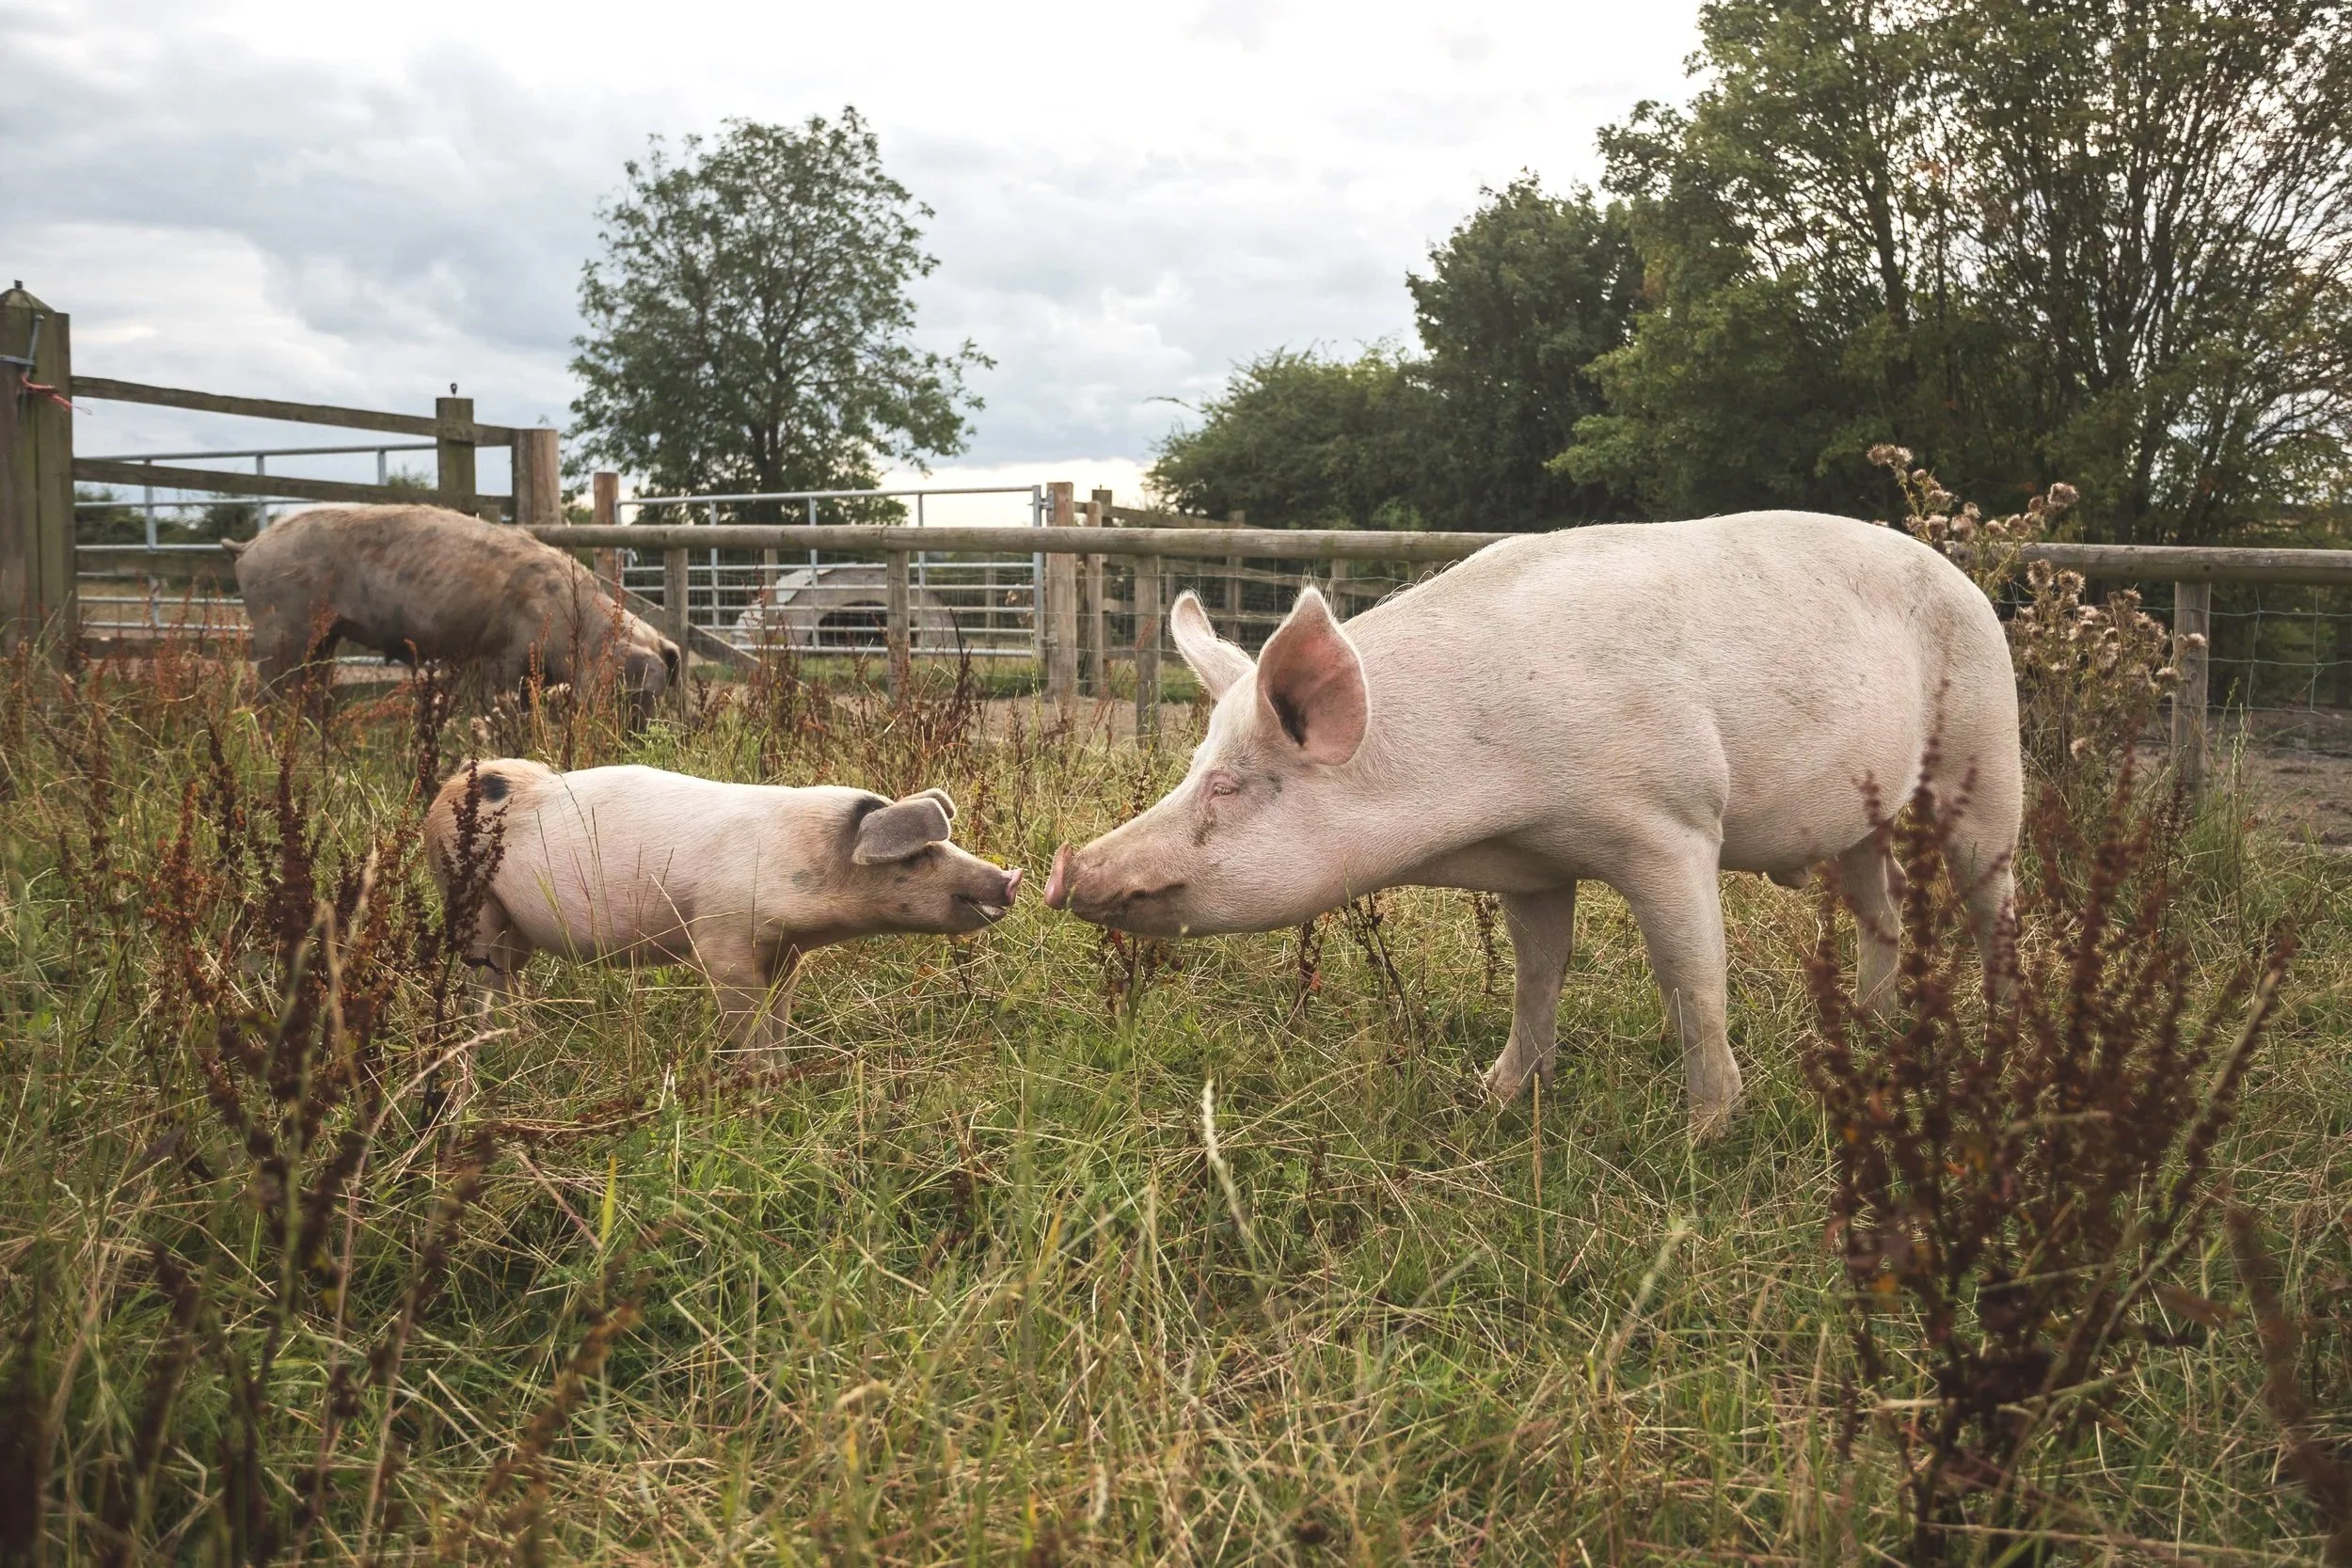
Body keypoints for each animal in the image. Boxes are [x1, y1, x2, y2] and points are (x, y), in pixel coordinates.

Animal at [224, 504, 680, 707]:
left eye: (659, 694)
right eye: (622, 691)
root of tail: (248, 548)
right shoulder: (505, 657)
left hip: (323, 637)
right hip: (279, 629)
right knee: (266, 692)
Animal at [423, 760, 1022, 1047]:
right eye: (919, 856)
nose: (1011, 877)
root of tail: (448, 788)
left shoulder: (787, 953)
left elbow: (779, 1018)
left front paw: (781, 1079)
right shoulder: (722, 939)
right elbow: (746, 1022)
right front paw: (760, 1090)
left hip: (515, 927)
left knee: (509, 977)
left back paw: (522, 1037)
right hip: (470, 899)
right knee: (483, 981)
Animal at [1042, 511, 2022, 1139]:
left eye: (1230, 787)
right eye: (1194, 766)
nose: (1066, 868)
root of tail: (1967, 579)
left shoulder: (1672, 824)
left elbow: (1692, 980)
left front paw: (1705, 1134)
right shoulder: (1535, 865)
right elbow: (1535, 974)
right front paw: (1495, 1094)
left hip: (1986, 757)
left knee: (1991, 903)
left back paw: (1998, 1037)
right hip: (1862, 821)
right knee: (1882, 905)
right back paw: (1866, 1027)